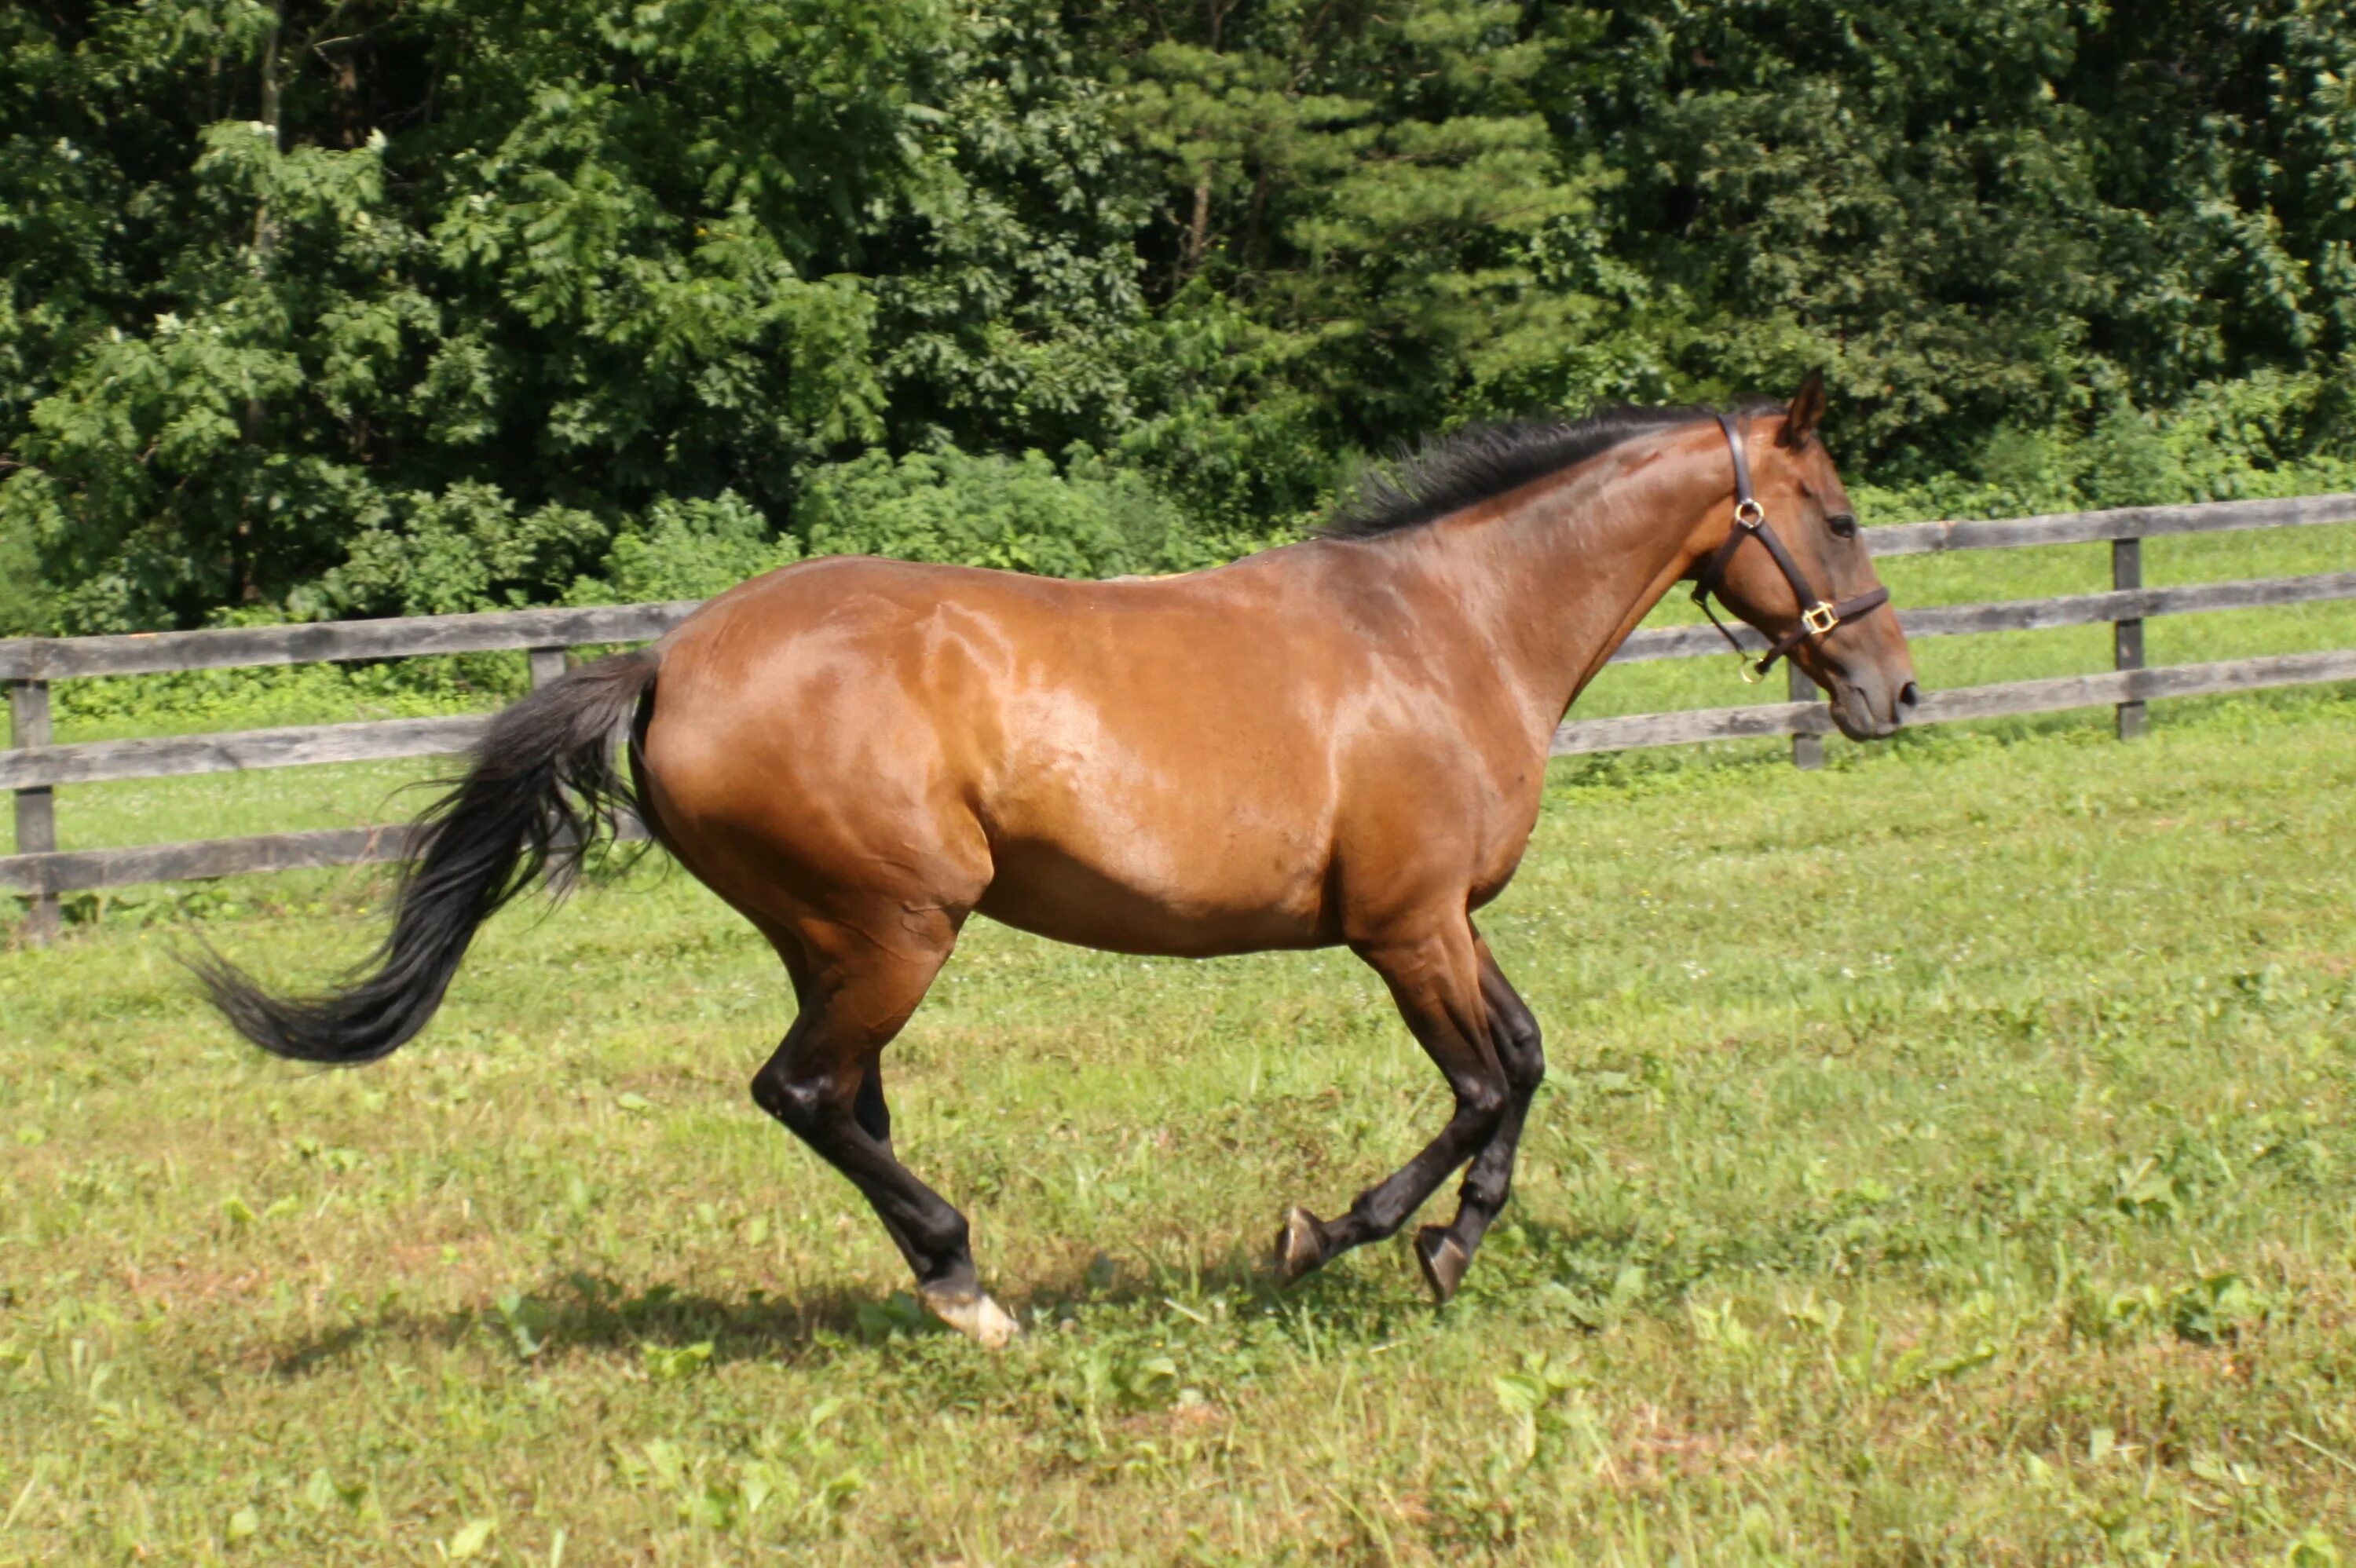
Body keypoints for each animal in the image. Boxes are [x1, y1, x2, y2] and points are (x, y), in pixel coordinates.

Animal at [203, 376, 1922, 1347]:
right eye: (1835, 513)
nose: (1897, 692)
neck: (1443, 631)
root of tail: (668, 661)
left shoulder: (1438, 921)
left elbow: (1526, 1059)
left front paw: (1430, 1236)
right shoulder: (1406, 925)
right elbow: (1484, 1081)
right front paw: (1363, 1237)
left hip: (837, 937)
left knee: (847, 1102)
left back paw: (944, 1282)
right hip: (899, 926)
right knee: (805, 1090)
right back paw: (974, 1289)